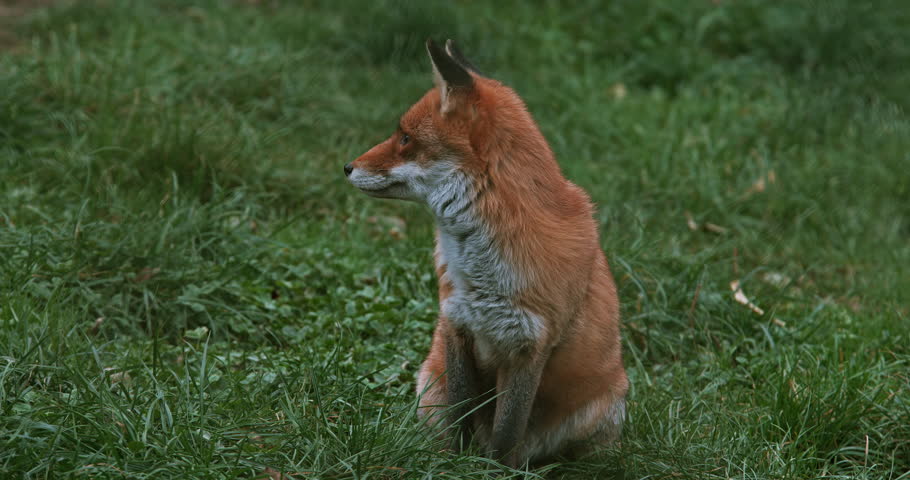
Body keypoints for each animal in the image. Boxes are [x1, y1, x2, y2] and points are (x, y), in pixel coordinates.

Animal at [345, 39, 628, 467]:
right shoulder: (456, 322)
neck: (481, 271)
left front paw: (493, 470)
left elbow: (506, 433)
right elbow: (462, 414)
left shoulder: (531, 345)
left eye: (405, 138)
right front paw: (455, 465)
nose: (347, 167)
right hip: (429, 384)